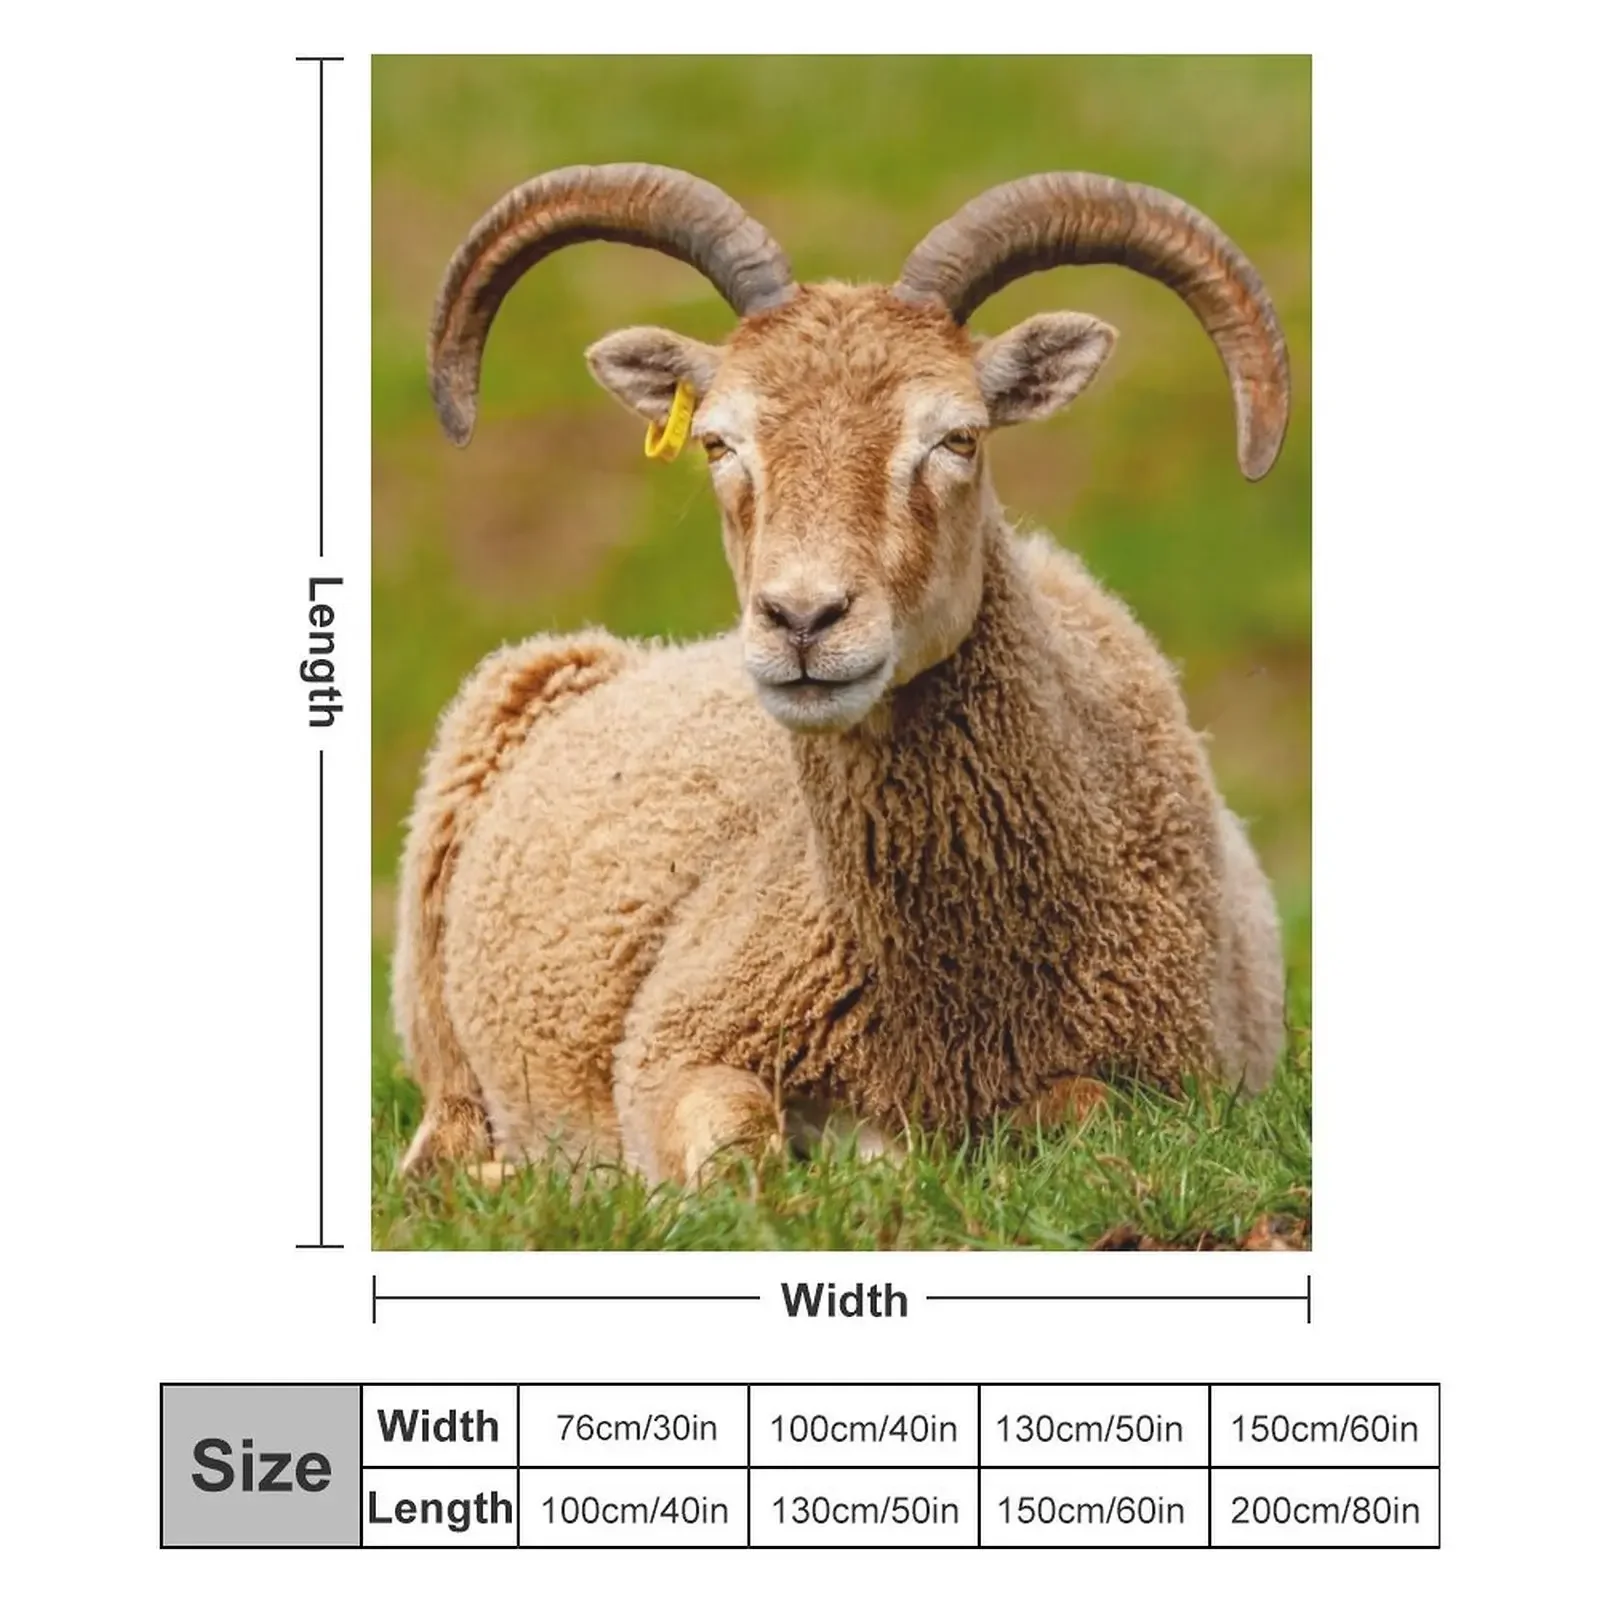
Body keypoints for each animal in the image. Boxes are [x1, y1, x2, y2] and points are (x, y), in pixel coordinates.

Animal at [394, 163, 1291, 1186]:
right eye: (717, 442)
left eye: (959, 438)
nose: (803, 619)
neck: (950, 1006)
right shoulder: (674, 1044)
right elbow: (733, 1143)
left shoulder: (1169, 1081)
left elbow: (1082, 1113)